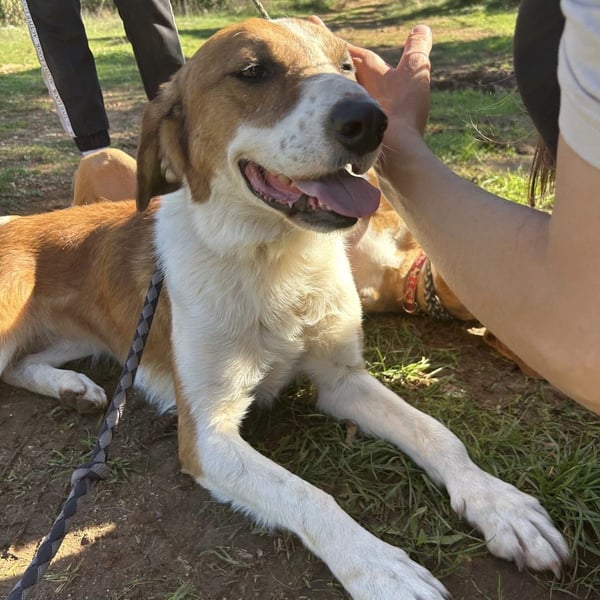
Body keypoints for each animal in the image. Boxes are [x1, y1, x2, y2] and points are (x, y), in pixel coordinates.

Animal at [0, 19, 566, 599]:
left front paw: (499, 503)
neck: (275, 263)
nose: (371, 120)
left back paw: (73, 389)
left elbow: (438, 434)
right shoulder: (207, 436)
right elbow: (311, 496)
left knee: (22, 366)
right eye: (253, 71)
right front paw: (382, 568)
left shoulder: (344, 381)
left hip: (73, 338)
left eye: (346, 65)